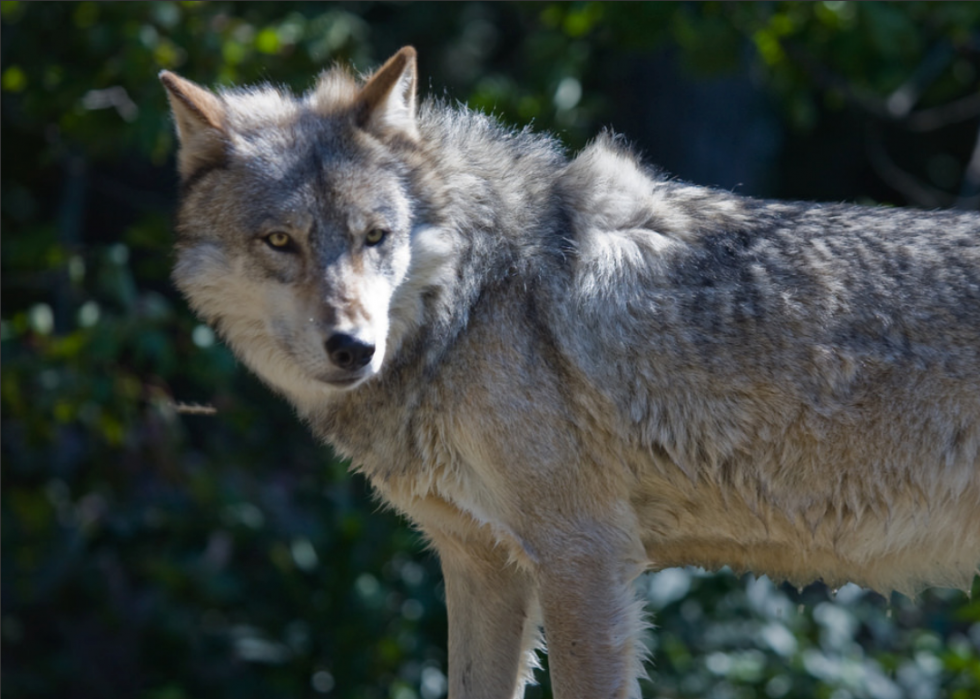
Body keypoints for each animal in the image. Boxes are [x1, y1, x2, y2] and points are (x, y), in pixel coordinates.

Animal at [163, 46, 980, 696]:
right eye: (280, 241)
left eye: (376, 236)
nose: (353, 348)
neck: (474, 301)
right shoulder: (481, 566)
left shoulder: (583, 557)